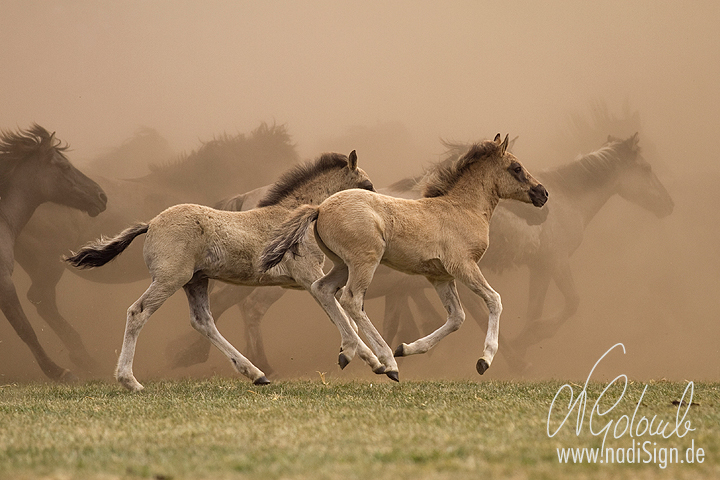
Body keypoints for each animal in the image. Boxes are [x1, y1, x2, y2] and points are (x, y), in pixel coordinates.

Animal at [67, 152, 382, 392]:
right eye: (367, 185)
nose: (378, 212)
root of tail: (151, 223)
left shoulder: (304, 281)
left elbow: (344, 317)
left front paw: (365, 357)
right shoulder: (308, 276)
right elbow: (341, 315)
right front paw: (373, 360)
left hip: (196, 281)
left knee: (203, 321)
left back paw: (255, 373)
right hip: (170, 279)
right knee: (138, 312)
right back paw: (130, 381)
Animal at [262, 136, 548, 378]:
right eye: (516, 168)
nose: (543, 194)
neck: (461, 209)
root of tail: (320, 207)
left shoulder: (440, 276)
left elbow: (456, 317)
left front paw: (407, 348)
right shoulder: (463, 266)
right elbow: (493, 300)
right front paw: (484, 360)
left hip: (342, 265)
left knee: (322, 289)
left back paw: (349, 352)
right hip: (365, 262)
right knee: (352, 300)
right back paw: (387, 362)